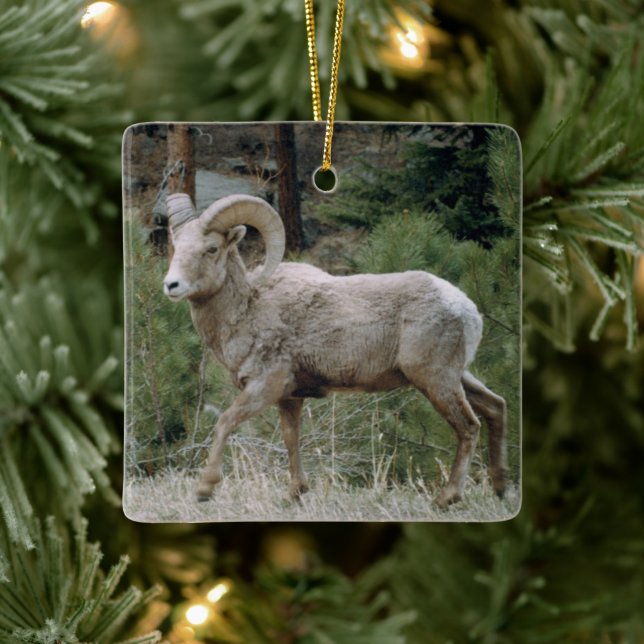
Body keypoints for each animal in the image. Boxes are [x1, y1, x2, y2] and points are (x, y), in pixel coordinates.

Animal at [162, 192, 507, 508]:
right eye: (176, 247)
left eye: (211, 249)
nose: (171, 285)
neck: (248, 308)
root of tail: (467, 309)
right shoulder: (289, 397)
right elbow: (291, 438)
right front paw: (295, 494)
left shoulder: (265, 386)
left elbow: (224, 423)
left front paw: (204, 490)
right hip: (457, 377)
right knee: (495, 407)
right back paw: (500, 489)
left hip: (435, 381)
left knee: (469, 427)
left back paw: (446, 499)